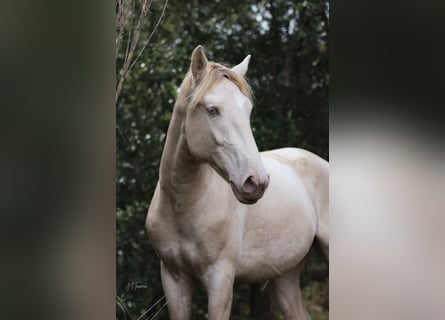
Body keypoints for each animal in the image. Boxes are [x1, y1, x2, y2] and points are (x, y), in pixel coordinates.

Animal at [144, 45, 328, 320]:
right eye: (212, 110)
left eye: (248, 110)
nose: (257, 182)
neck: (182, 204)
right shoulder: (173, 279)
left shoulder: (220, 280)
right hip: (285, 276)